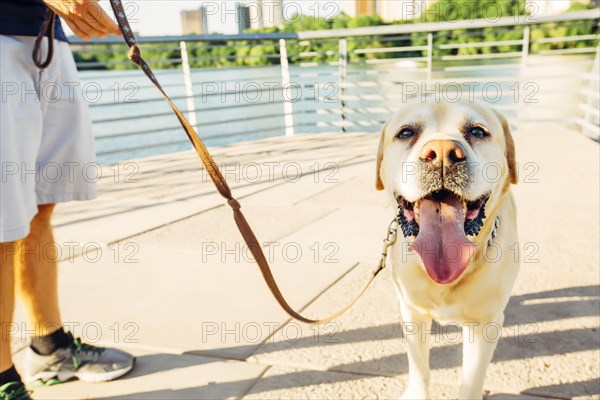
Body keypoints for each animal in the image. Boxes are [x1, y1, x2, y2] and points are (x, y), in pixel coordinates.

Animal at [378, 98, 516, 398]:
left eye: (477, 131)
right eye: (406, 133)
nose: (441, 153)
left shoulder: (484, 325)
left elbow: (471, 380)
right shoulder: (412, 312)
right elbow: (419, 368)